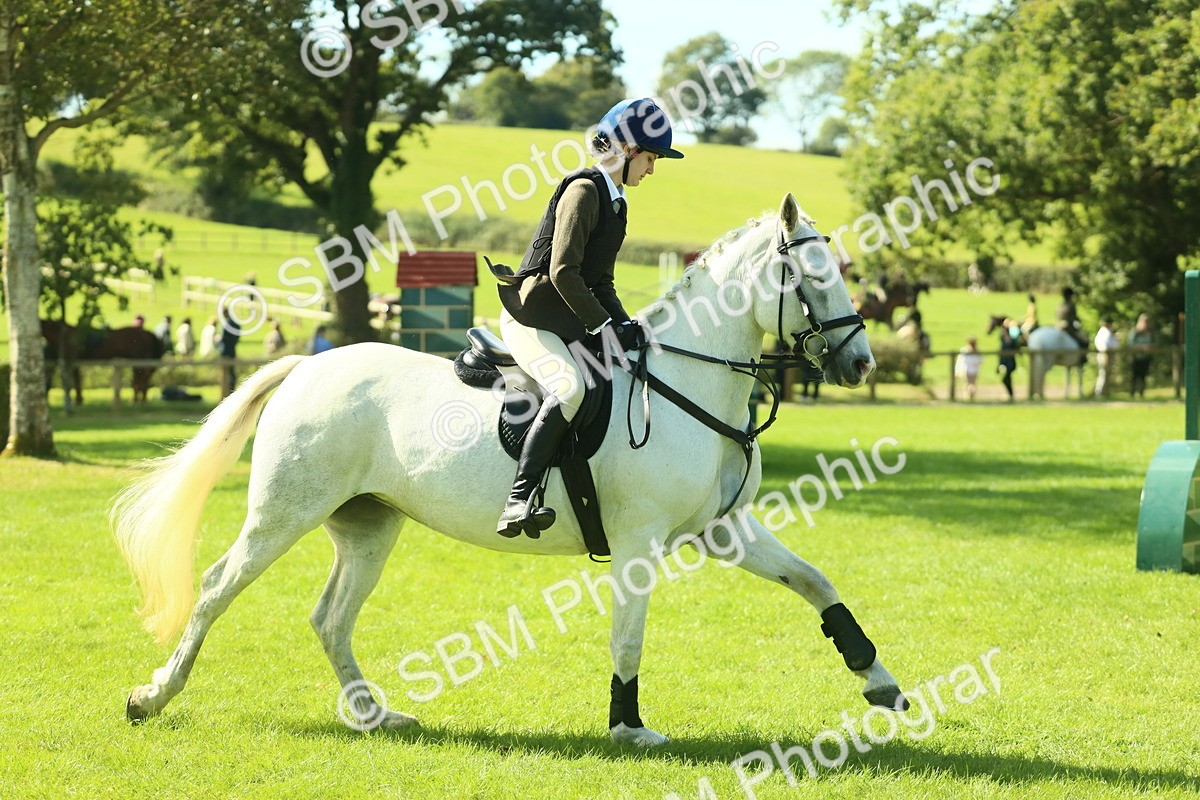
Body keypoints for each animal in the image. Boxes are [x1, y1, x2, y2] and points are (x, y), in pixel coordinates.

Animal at [113, 194, 908, 747]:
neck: (689, 380)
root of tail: (307, 365)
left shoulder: (723, 531)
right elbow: (629, 636)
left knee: (331, 616)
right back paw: (152, 696)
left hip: (368, 525)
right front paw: (629, 727)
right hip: (283, 512)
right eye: (813, 275)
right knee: (217, 588)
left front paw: (881, 683)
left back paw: (374, 716)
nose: (861, 364)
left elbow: (817, 584)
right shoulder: (640, 542)